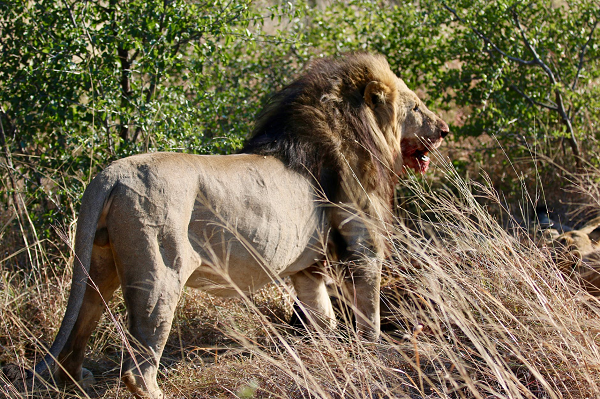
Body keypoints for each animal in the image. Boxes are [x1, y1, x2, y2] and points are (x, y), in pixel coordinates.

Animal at [31, 54, 446, 399]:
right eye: (416, 107)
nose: (443, 129)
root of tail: (109, 176)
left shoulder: (308, 269)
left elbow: (322, 318)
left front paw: (326, 357)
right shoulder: (362, 251)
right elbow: (369, 317)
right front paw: (374, 356)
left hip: (98, 270)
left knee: (73, 345)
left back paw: (78, 381)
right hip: (159, 278)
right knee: (138, 370)